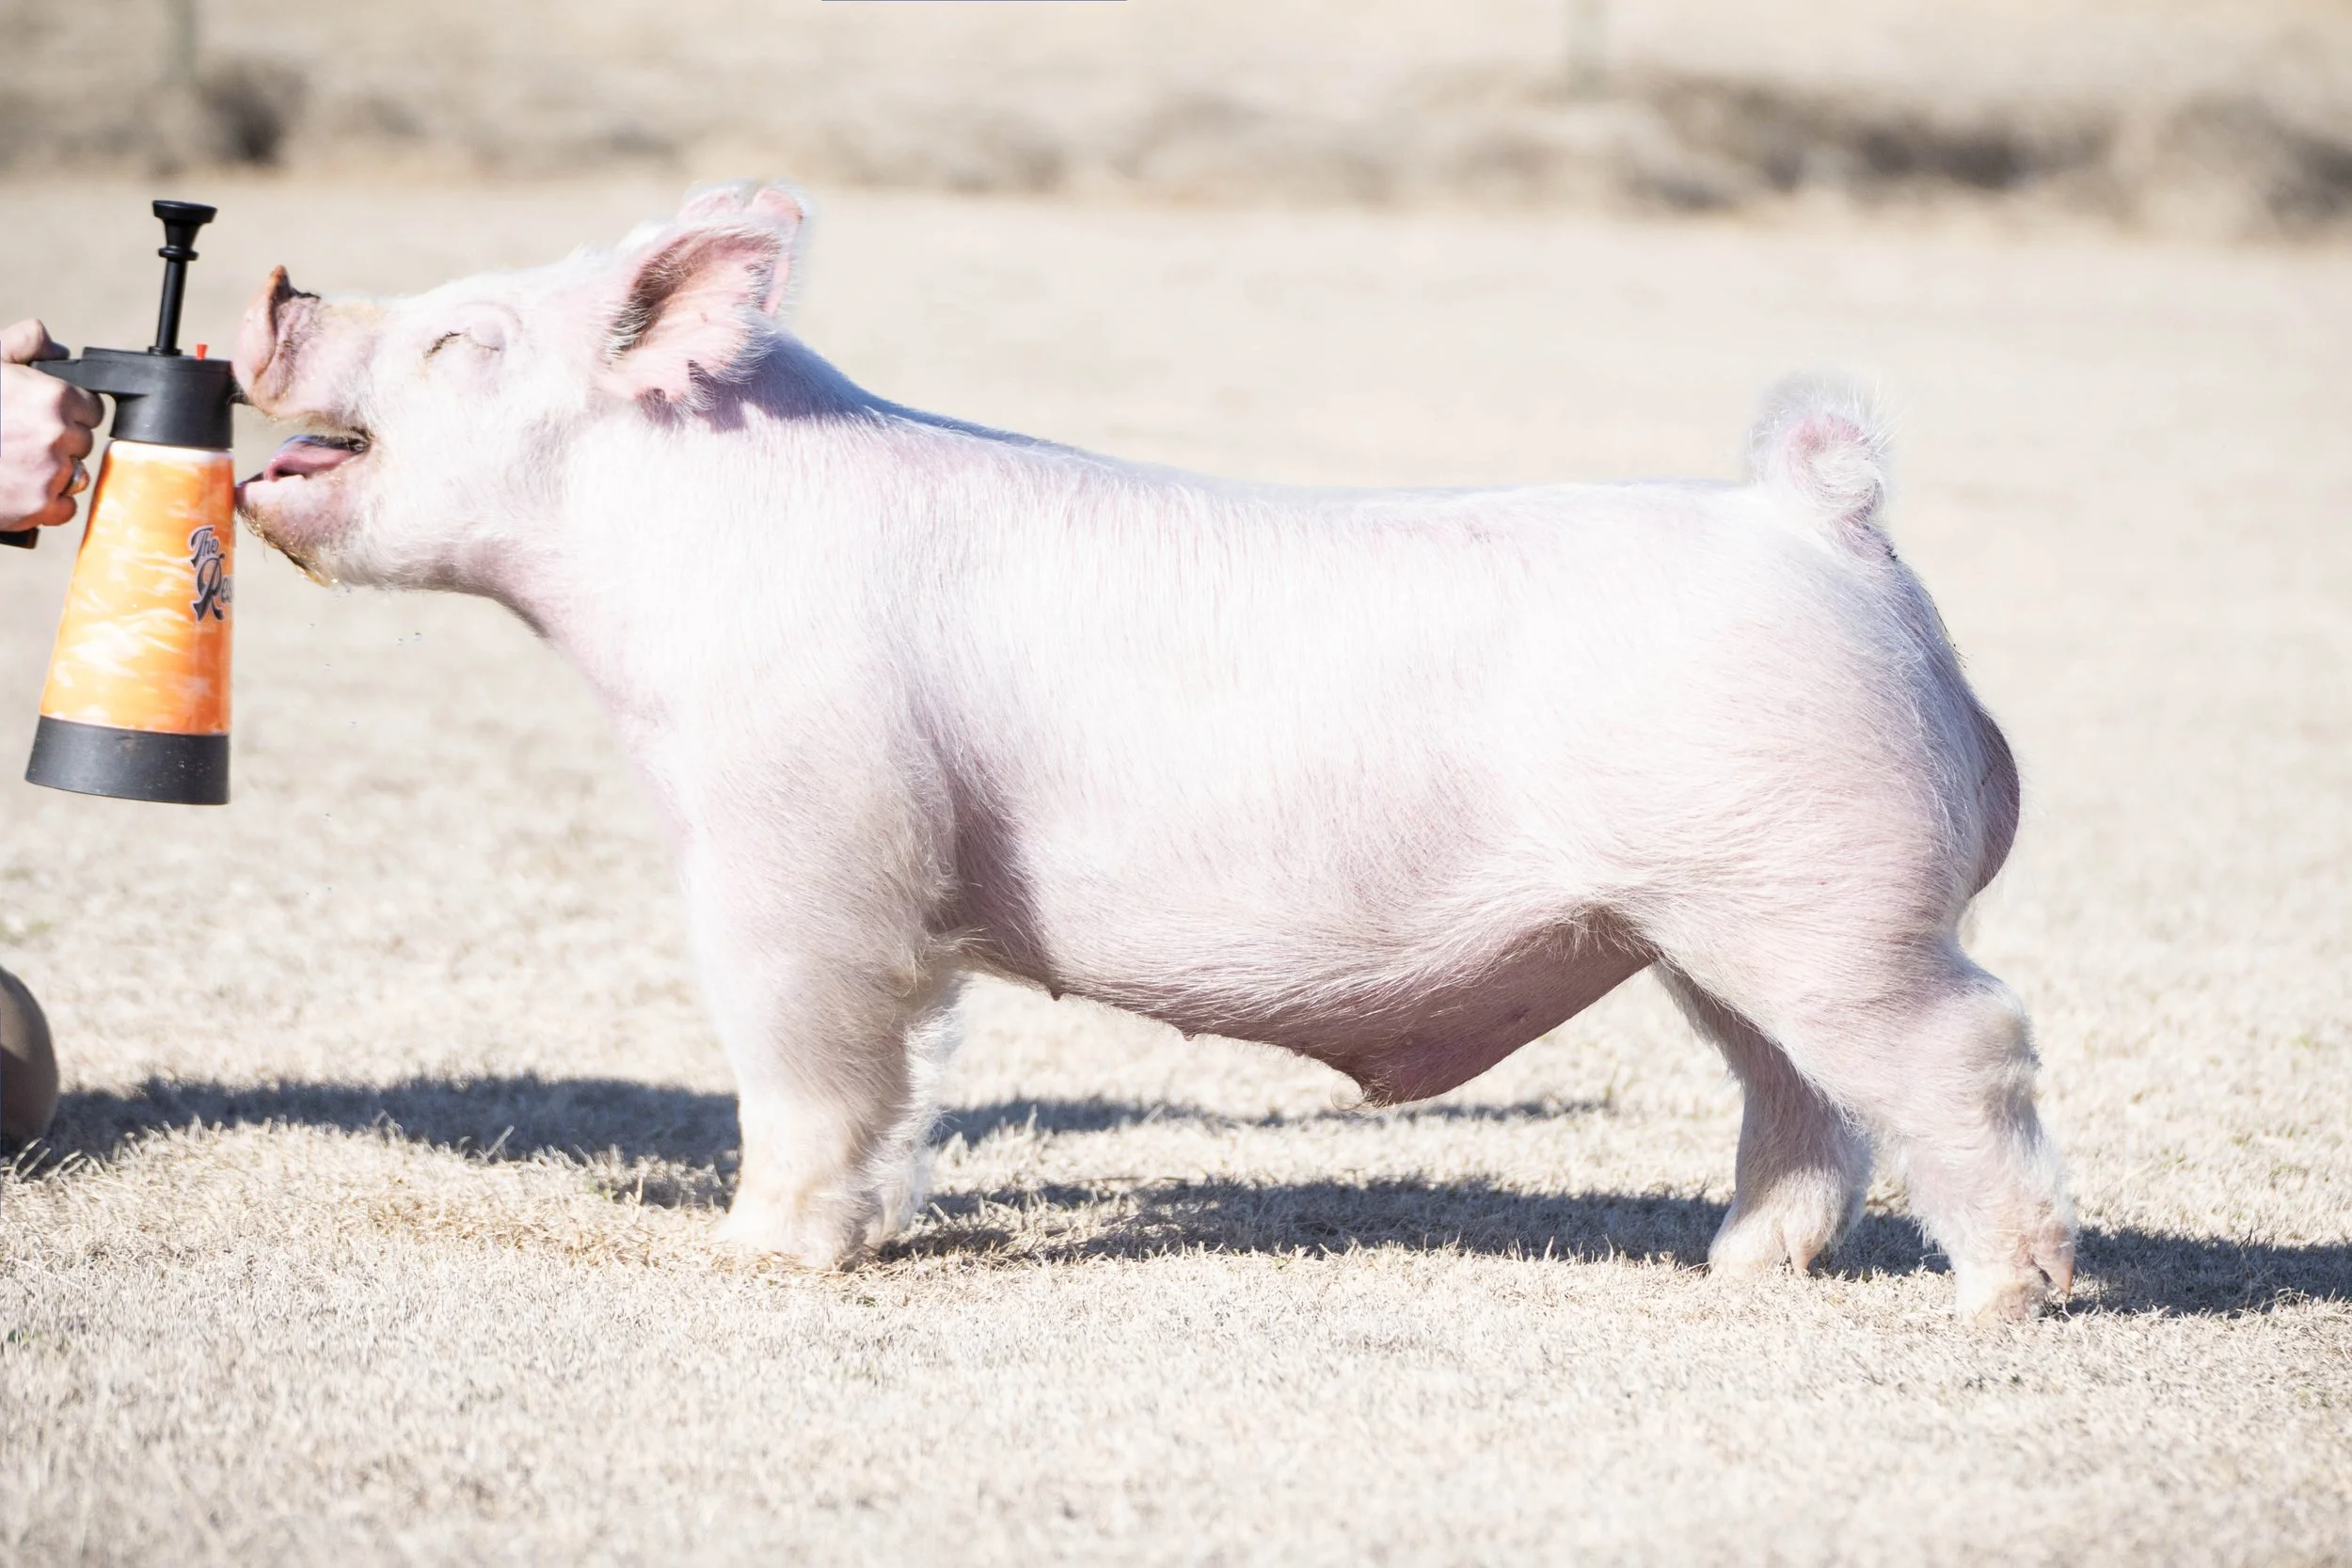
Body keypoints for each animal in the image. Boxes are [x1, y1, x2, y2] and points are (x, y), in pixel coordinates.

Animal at [233, 180, 2073, 1320]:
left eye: (462, 339)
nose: (275, 285)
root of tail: (1822, 517)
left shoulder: (806, 842)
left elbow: (806, 1057)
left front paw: (755, 1255)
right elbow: (901, 1076)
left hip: (1828, 901)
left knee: (1965, 1047)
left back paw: (2007, 1297)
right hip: (1713, 922)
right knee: (1802, 1097)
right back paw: (1736, 1273)